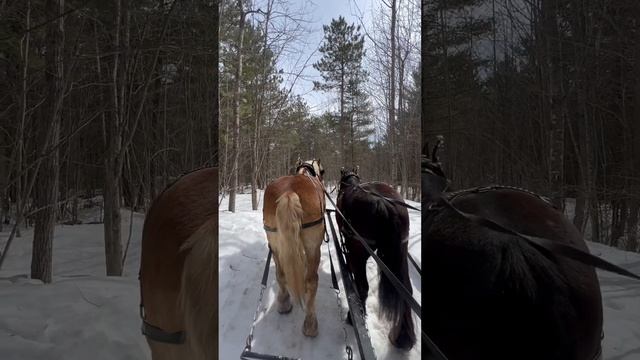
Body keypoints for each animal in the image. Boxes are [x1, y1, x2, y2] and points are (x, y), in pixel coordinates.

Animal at [262, 160, 328, 338]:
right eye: (323, 171)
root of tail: (289, 192)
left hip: (275, 242)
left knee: (281, 274)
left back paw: (284, 303)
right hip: (313, 247)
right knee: (312, 281)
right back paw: (310, 324)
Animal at [336, 167, 416, 350]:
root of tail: (386, 205)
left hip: (359, 251)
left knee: (362, 287)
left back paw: (352, 317)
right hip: (401, 251)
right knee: (406, 290)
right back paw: (402, 337)